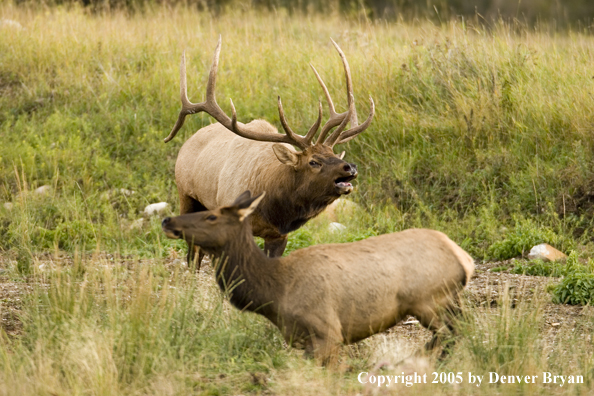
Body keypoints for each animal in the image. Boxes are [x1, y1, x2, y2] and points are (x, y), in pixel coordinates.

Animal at [160, 191, 474, 366]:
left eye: (211, 217)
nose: (167, 220)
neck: (274, 294)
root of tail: (464, 259)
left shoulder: (327, 332)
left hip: (429, 300)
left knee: (449, 335)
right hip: (447, 301)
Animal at [162, 37, 374, 268]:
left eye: (334, 154)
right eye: (313, 161)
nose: (350, 167)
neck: (269, 205)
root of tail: (188, 141)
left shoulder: (278, 235)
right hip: (186, 195)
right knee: (193, 254)